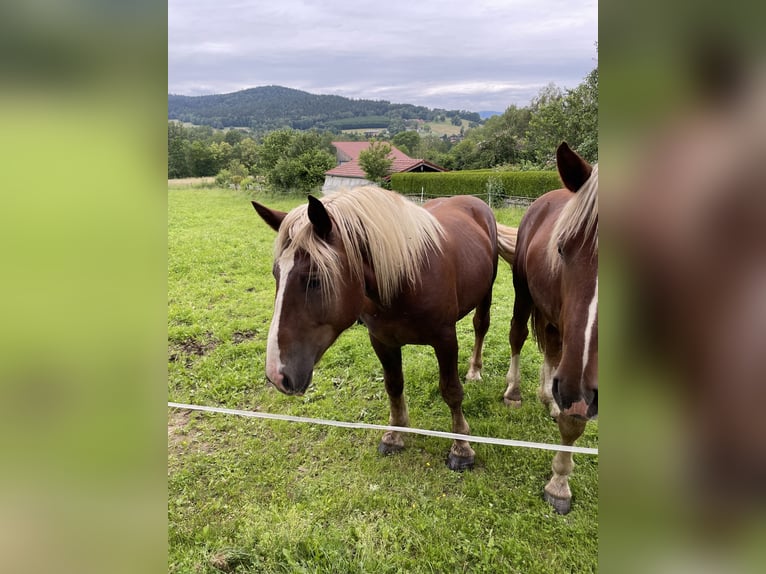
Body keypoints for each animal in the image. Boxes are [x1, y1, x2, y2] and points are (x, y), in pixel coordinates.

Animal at [255, 189, 500, 472]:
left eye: (314, 279)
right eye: (276, 274)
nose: (277, 375)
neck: (406, 276)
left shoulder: (445, 339)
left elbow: (451, 391)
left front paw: (461, 447)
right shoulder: (383, 341)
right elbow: (393, 385)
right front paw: (395, 434)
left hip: (486, 292)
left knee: (481, 325)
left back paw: (474, 370)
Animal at [500, 144, 604, 516]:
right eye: (561, 248)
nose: (574, 390)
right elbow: (574, 422)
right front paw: (559, 484)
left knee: (552, 349)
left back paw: (549, 398)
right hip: (524, 293)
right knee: (519, 337)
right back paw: (516, 392)